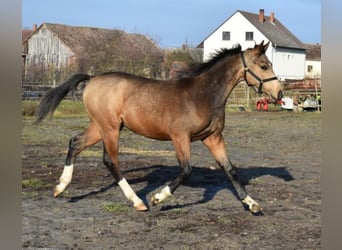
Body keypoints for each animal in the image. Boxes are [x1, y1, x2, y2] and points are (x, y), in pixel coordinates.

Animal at [34, 40, 282, 213]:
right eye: (263, 65)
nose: (279, 94)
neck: (203, 95)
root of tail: (93, 78)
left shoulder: (213, 137)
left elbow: (230, 170)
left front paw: (252, 204)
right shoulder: (180, 137)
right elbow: (186, 170)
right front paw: (157, 197)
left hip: (100, 126)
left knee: (75, 143)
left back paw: (60, 188)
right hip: (110, 129)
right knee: (110, 160)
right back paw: (138, 201)